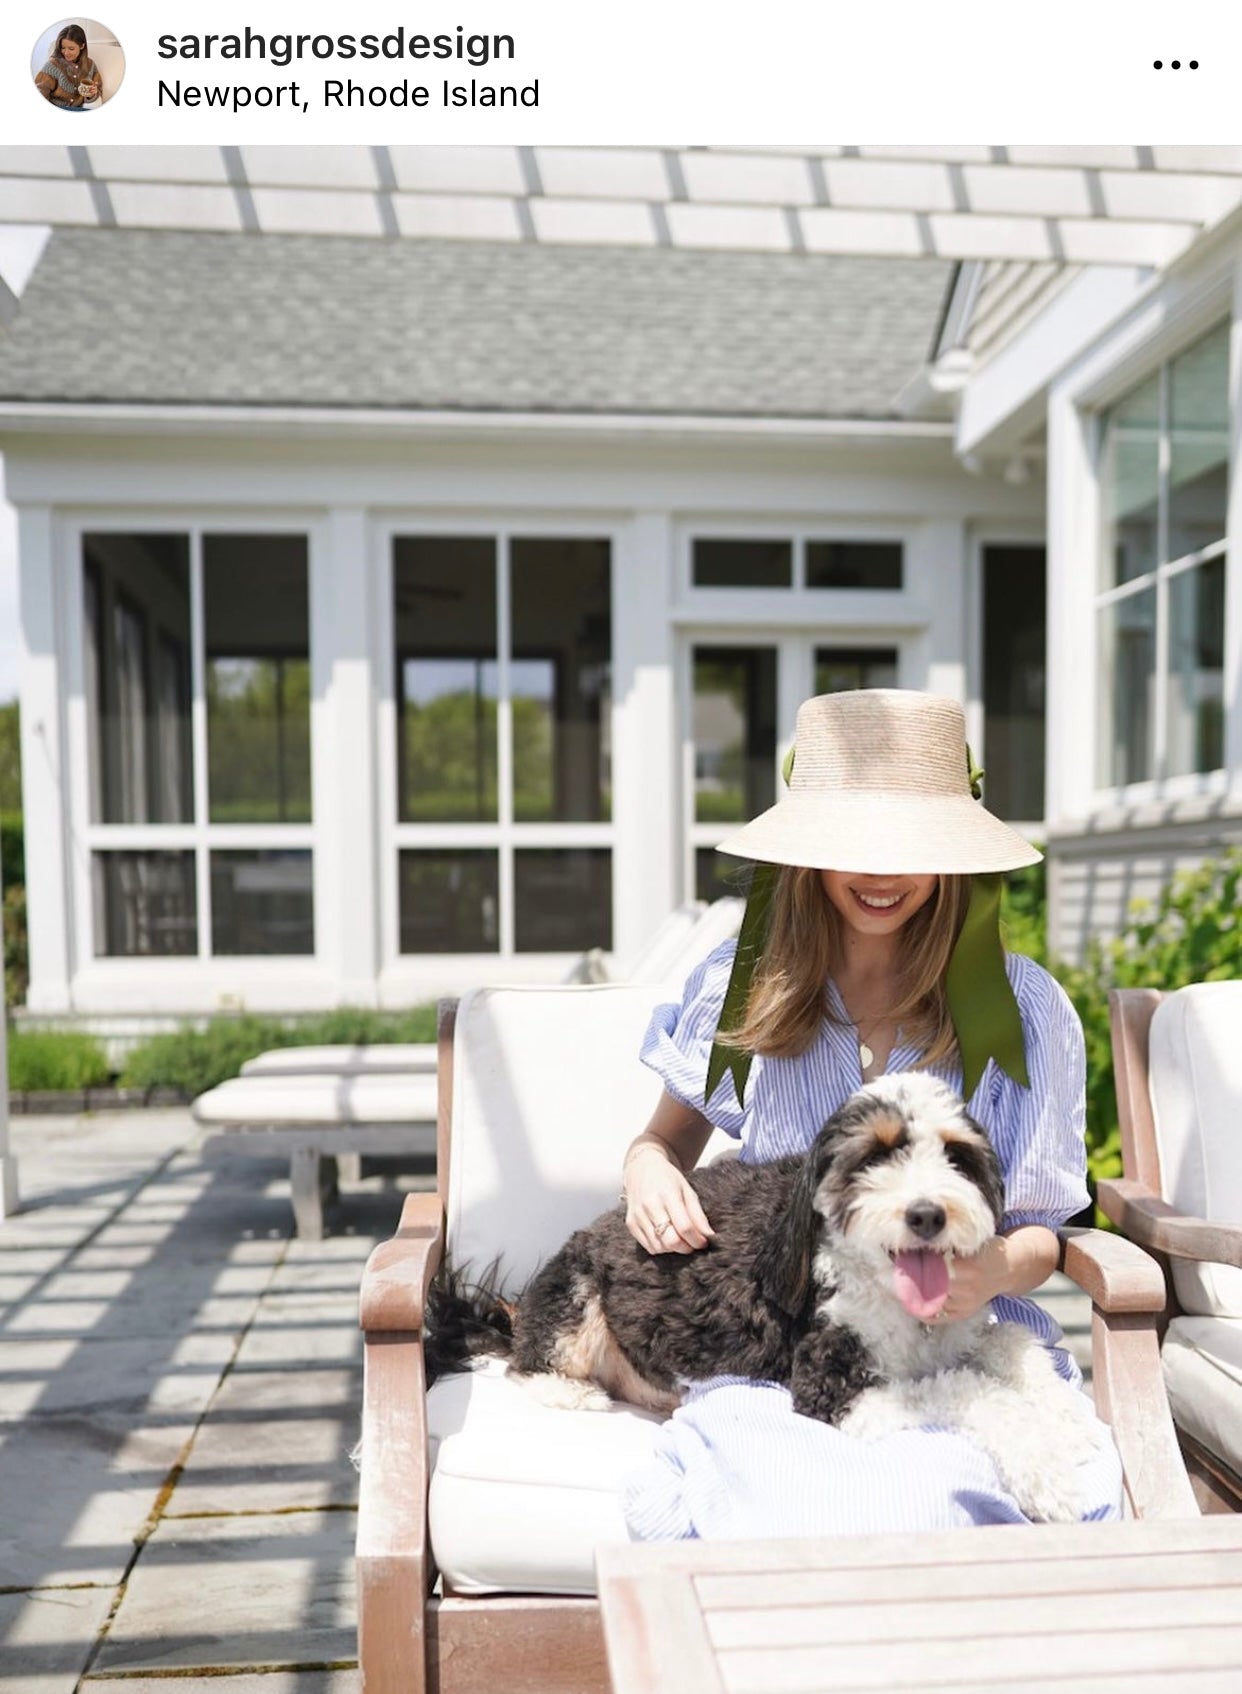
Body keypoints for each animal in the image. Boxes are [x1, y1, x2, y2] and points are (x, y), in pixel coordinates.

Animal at [430, 1070, 1111, 1524]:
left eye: (955, 1155)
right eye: (873, 1157)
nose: (926, 1214)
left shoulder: (963, 1329)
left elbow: (1011, 1344)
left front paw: (1067, 1416)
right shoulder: (831, 1386)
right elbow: (970, 1392)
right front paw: (1052, 1474)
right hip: (577, 1300)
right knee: (528, 1364)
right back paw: (572, 1391)